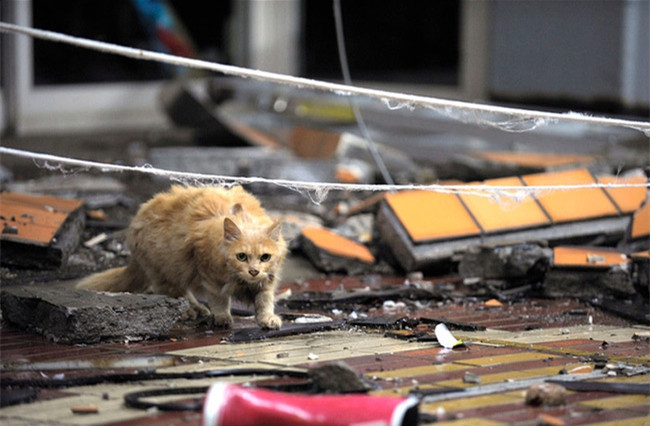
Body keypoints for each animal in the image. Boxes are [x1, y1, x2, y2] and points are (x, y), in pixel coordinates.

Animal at [77, 185, 284, 328]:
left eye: (265, 257)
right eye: (241, 256)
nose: (253, 271)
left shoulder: (267, 281)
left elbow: (265, 301)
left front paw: (267, 319)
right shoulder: (210, 276)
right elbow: (220, 300)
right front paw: (222, 318)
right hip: (165, 269)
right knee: (173, 292)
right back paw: (191, 311)